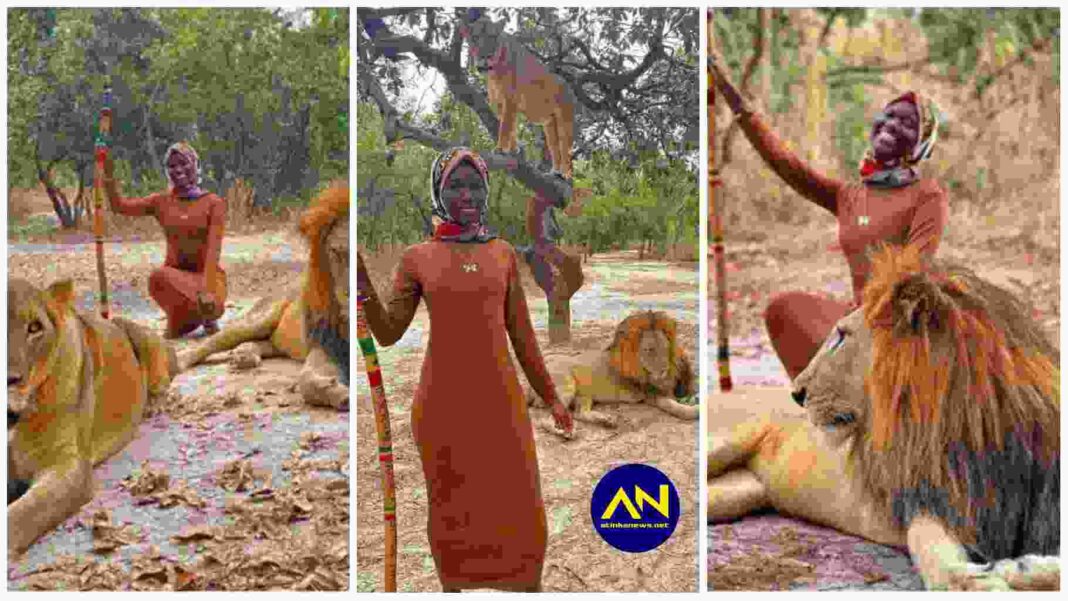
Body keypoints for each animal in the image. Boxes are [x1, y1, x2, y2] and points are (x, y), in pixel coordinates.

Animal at [7, 279, 177, 559]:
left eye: (34, 327)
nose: (9, 380)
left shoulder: (69, 467)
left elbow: (21, 514)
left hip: (140, 335)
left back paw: (154, 405)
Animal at [176, 182, 350, 409]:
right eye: (336, 251)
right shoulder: (326, 346)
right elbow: (305, 381)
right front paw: (341, 394)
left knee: (265, 343)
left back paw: (244, 354)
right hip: (257, 320)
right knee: (209, 343)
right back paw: (181, 360)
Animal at [461, 8, 572, 181]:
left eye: (493, 36)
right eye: (475, 37)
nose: (486, 56)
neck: (494, 71)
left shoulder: (511, 98)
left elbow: (505, 126)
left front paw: (500, 149)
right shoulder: (501, 102)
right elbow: (508, 125)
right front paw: (514, 150)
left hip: (564, 122)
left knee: (566, 150)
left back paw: (566, 174)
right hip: (549, 125)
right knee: (555, 149)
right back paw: (555, 171)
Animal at [529, 309, 696, 433]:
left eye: (666, 348)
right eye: (649, 350)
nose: (664, 371)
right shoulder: (651, 395)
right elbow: (675, 407)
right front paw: (694, 410)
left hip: (584, 395)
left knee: (579, 413)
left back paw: (606, 421)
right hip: (566, 386)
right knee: (546, 419)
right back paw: (566, 431)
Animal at [709, 245, 1059, 593]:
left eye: (841, 336)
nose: (796, 393)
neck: (976, 426)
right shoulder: (929, 502)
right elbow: (940, 563)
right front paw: (993, 577)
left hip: (741, 492)